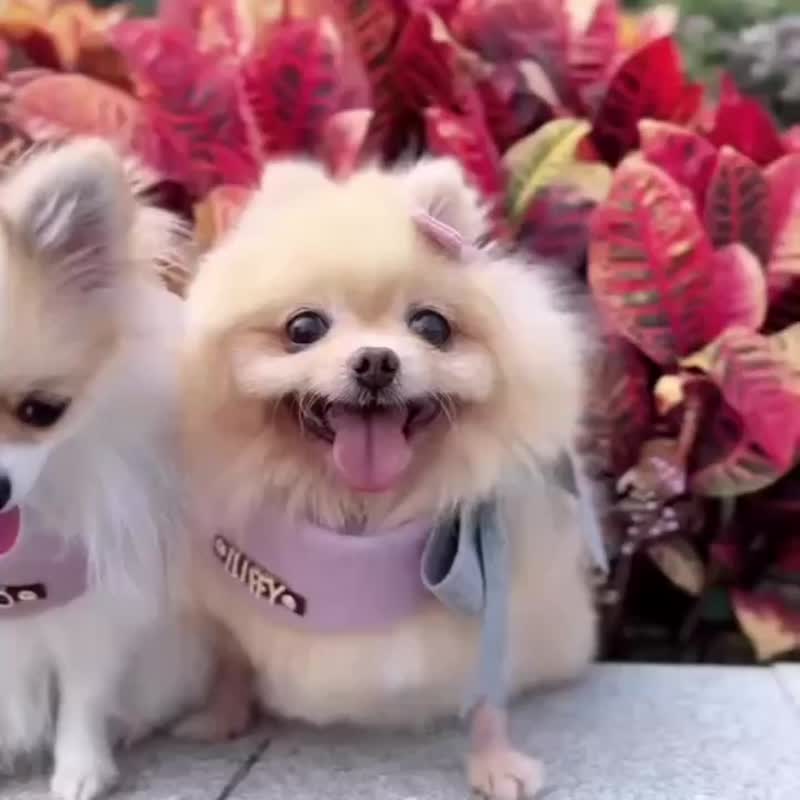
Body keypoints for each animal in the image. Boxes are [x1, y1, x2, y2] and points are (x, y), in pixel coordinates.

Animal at [178, 158, 596, 800]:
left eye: (431, 326)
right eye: (304, 328)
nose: (376, 360)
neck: (361, 517)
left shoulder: (498, 598)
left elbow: (489, 697)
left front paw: (495, 763)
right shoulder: (226, 599)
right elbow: (230, 661)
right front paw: (220, 718)